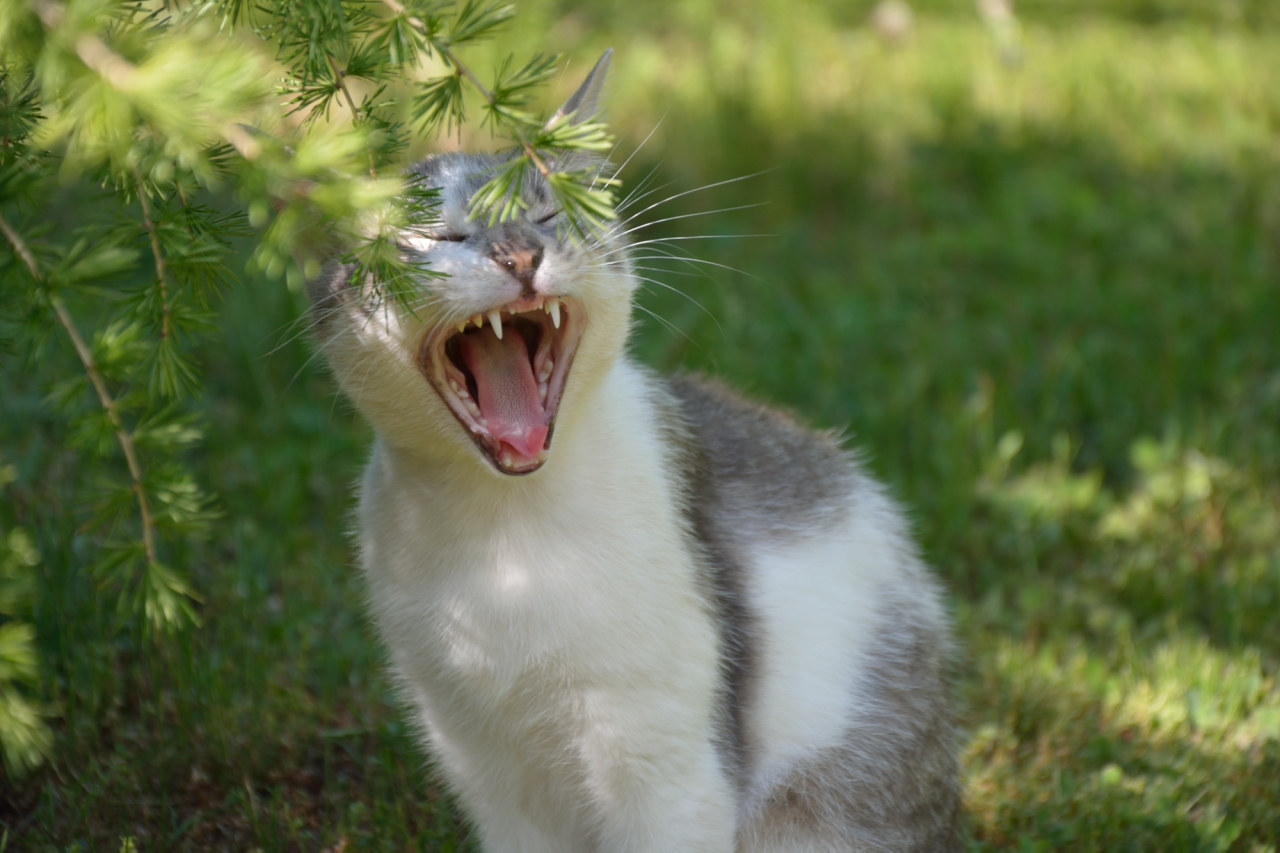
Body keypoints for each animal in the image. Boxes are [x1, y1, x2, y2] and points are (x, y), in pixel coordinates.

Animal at [304, 51, 957, 850]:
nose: (521, 254)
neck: (508, 533)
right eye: (438, 238)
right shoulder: (478, 756)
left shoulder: (661, 762)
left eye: (548, 213)